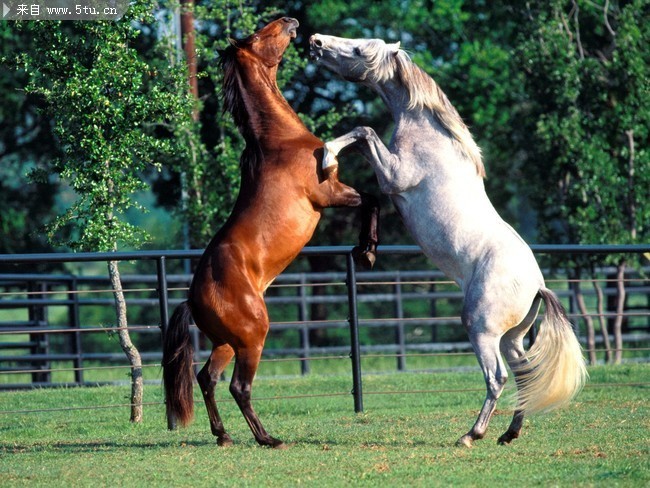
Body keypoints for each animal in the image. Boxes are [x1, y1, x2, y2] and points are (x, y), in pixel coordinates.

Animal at [160, 17, 380, 448]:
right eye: (260, 35)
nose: (290, 21)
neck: (280, 140)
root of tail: (192, 299)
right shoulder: (328, 194)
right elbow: (373, 196)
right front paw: (366, 250)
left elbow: (372, 198)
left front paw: (366, 249)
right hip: (253, 336)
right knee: (238, 387)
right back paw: (268, 438)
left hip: (227, 342)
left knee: (207, 378)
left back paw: (224, 436)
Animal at [308, 33, 588, 446]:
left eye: (358, 49)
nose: (314, 41)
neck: (431, 134)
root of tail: (537, 285)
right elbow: (362, 135)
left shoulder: (394, 175)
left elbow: (364, 132)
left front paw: (327, 154)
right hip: (512, 337)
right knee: (524, 374)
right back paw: (509, 434)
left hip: (481, 328)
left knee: (497, 377)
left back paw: (472, 435)